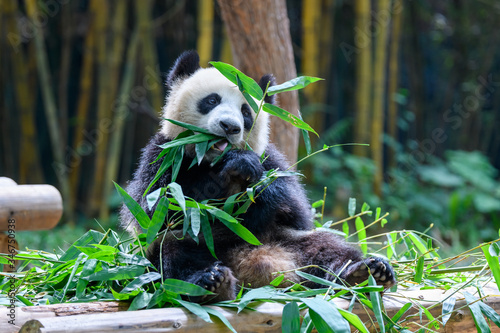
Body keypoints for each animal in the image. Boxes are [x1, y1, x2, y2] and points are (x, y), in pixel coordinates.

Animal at [121, 50, 394, 300]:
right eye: (212, 100)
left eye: (245, 111)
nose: (230, 127)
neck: (211, 158)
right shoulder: (163, 155)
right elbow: (154, 208)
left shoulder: (270, 159)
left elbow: (296, 208)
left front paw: (247, 174)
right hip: (184, 247)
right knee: (172, 256)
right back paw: (211, 283)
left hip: (288, 240)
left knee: (328, 248)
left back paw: (365, 273)